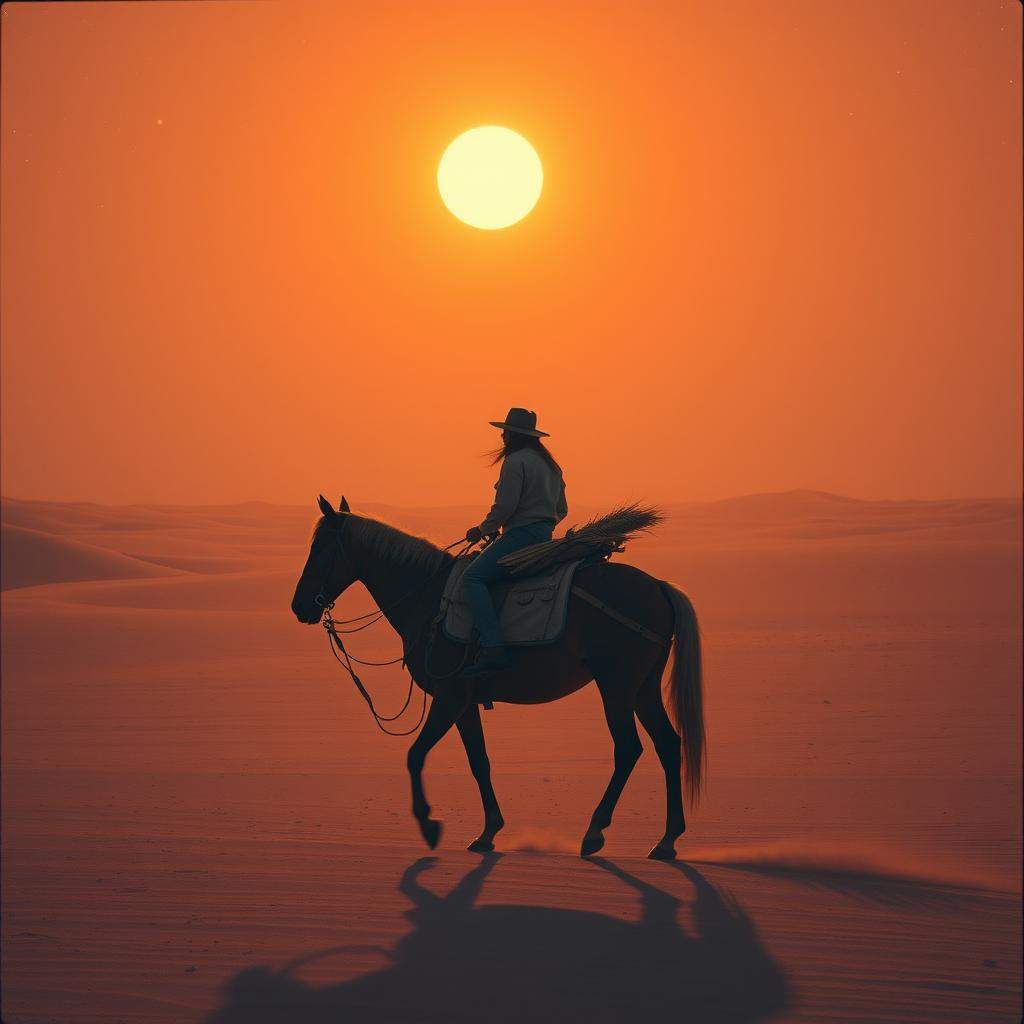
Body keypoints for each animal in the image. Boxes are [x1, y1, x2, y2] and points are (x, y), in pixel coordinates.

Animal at [291, 495, 705, 860]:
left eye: (320, 549)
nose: (299, 606)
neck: (429, 599)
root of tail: (659, 588)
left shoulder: (449, 697)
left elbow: (415, 755)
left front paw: (429, 824)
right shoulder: (465, 704)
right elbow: (479, 760)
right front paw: (488, 831)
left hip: (616, 687)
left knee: (628, 749)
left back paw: (594, 832)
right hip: (643, 689)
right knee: (668, 744)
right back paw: (666, 840)